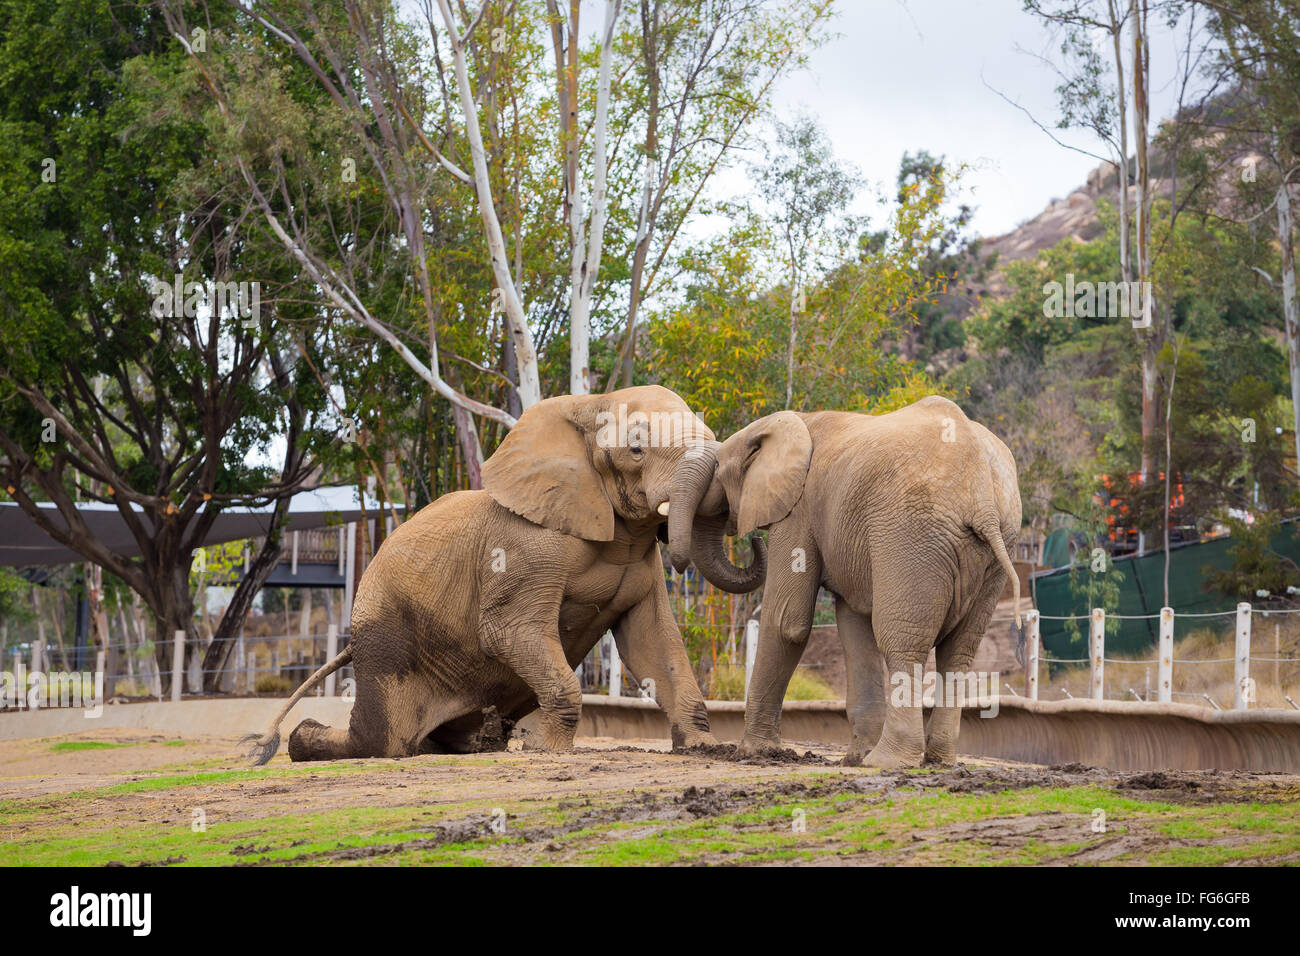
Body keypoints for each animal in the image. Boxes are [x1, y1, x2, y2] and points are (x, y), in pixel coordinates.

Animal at [243, 385, 759, 764]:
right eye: (635, 449)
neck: (588, 405)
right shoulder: (522, 547)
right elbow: (510, 629)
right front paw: (545, 750)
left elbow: (652, 643)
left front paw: (704, 747)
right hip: (384, 640)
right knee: (380, 740)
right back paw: (296, 743)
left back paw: (476, 742)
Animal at [665, 395, 1019, 770]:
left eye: (717, 470)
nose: (755, 542)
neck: (794, 422)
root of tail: (982, 495)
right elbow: (853, 623)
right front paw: (853, 757)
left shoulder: (799, 510)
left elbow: (787, 622)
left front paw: (752, 753)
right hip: (998, 547)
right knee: (960, 652)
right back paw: (937, 761)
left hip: (913, 535)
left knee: (901, 642)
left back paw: (887, 761)